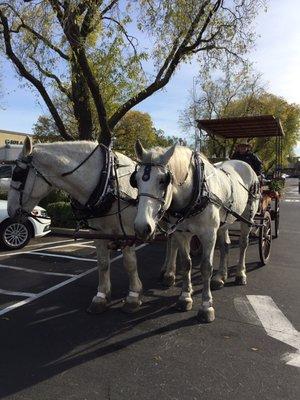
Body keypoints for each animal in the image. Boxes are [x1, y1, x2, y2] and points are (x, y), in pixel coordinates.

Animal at [6, 138, 178, 316]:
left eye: (17, 173)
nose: (10, 210)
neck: (108, 183)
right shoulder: (99, 233)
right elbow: (102, 263)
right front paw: (101, 297)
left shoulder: (129, 231)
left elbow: (130, 263)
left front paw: (133, 296)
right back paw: (165, 270)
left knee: (174, 244)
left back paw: (169, 275)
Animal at [132, 141, 258, 322]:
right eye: (135, 180)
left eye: (163, 180)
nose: (142, 227)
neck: (197, 190)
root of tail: (245, 164)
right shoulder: (181, 232)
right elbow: (186, 263)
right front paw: (185, 297)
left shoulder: (208, 235)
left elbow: (206, 267)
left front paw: (206, 306)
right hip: (224, 222)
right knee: (225, 245)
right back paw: (220, 277)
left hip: (247, 217)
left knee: (243, 244)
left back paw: (240, 274)